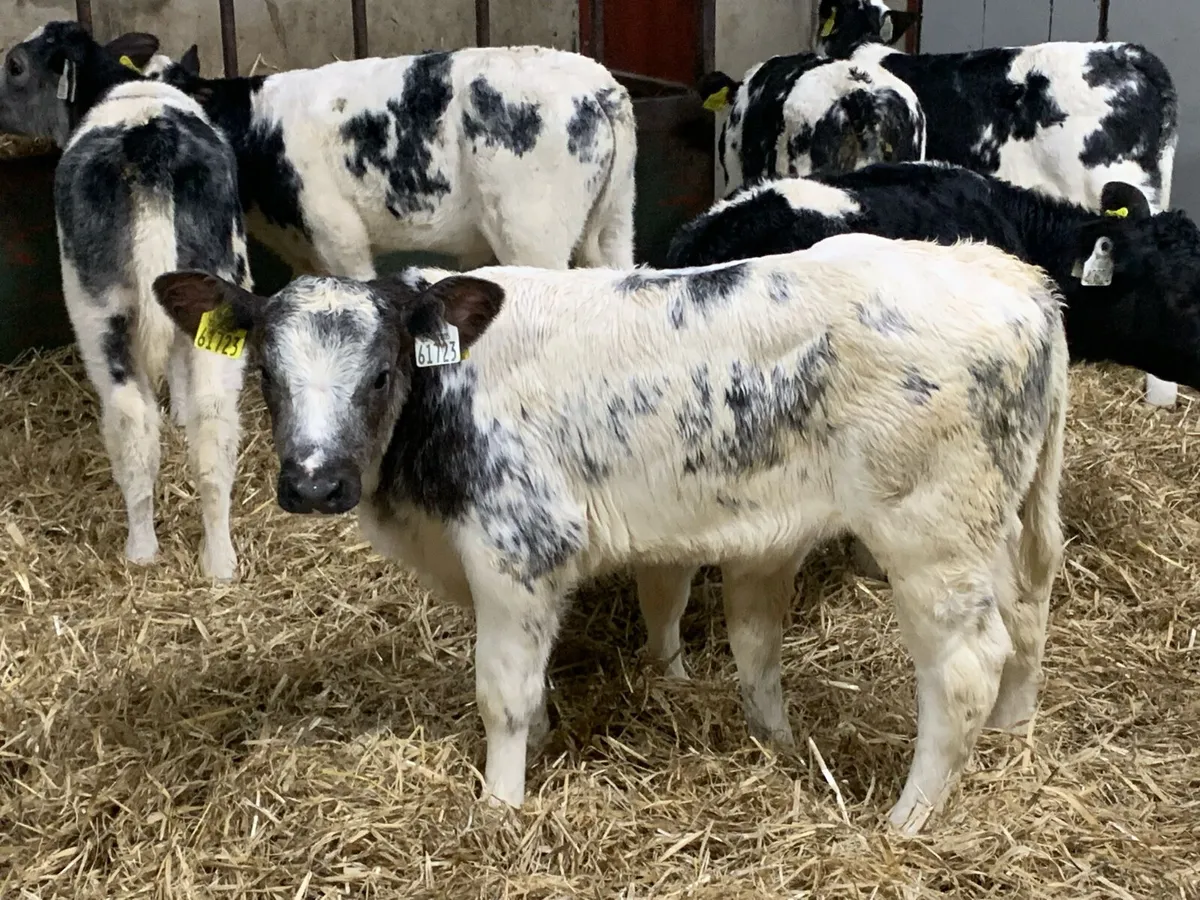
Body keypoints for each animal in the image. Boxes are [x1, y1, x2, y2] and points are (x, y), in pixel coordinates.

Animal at [0, 22, 253, 581]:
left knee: (131, 416)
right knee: (214, 415)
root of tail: (146, 143)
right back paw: (220, 560)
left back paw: (141, 548)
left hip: (96, 307)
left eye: (14, 66)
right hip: (217, 291)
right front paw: (177, 412)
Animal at [152, 233, 1067, 834]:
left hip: (931, 532)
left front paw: (501, 805)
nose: (314, 483)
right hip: (1006, 519)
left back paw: (907, 820)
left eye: (381, 373)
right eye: (265, 376)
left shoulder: (519, 544)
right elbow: (534, 682)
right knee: (1029, 615)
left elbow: (501, 690)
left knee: (966, 666)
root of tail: (1008, 276)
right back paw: (1013, 738)